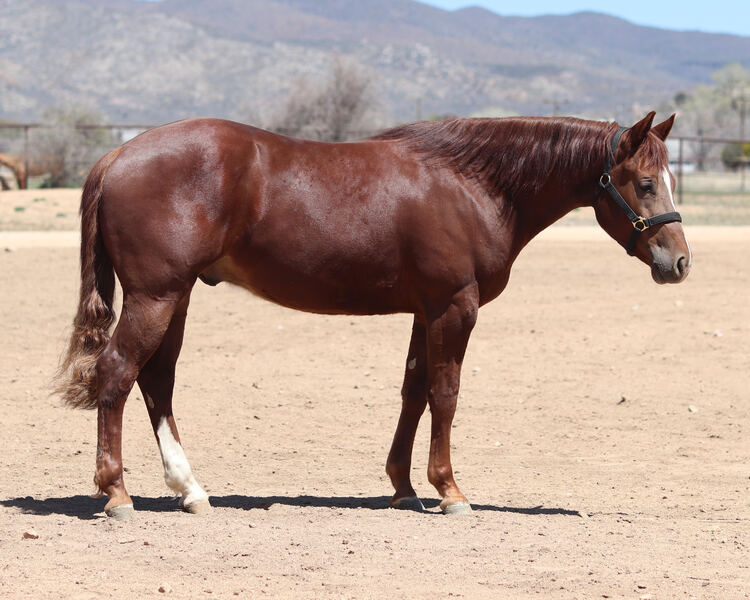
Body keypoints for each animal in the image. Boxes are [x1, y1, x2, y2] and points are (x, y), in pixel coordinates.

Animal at [56, 111, 691, 520]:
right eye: (645, 182)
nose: (678, 261)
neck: (471, 185)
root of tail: (119, 153)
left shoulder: (425, 311)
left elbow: (413, 391)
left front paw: (404, 488)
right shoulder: (454, 308)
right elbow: (444, 394)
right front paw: (450, 491)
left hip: (176, 297)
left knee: (156, 382)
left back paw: (191, 489)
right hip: (156, 296)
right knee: (118, 373)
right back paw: (117, 495)